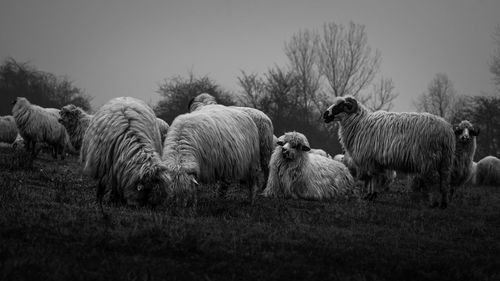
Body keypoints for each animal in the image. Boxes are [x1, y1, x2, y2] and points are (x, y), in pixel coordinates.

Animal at [322, 95, 456, 207]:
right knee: (445, 181)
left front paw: (371, 195)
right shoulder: (375, 161)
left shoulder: (369, 159)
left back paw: (433, 203)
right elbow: (374, 178)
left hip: (428, 159)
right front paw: (370, 195)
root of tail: (446, 131)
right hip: (446, 161)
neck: (359, 123)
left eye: (340, 106)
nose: (325, 115)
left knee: (434, 180)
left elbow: (373, 177)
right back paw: (444, 204)